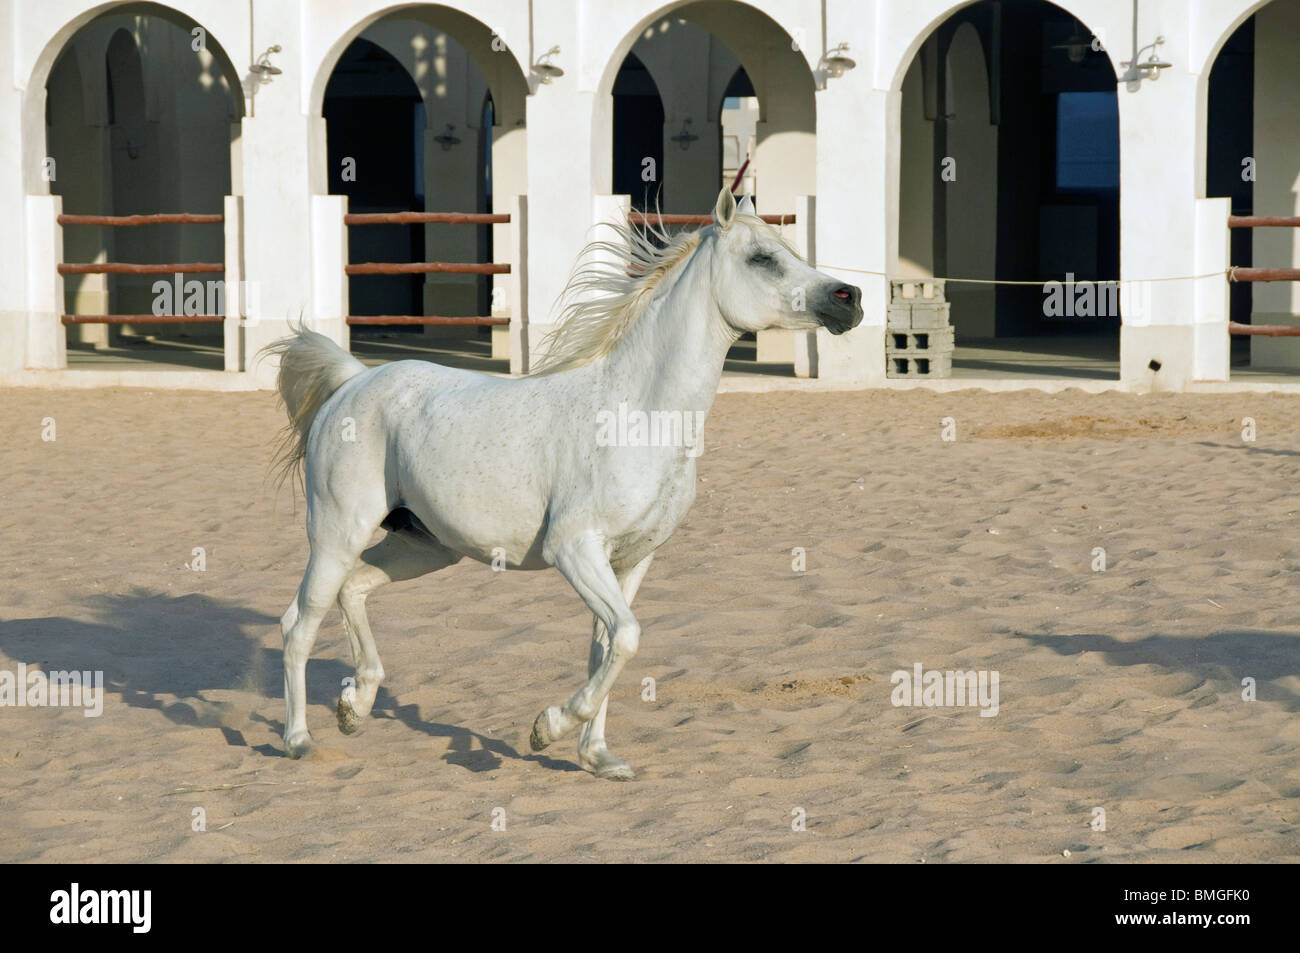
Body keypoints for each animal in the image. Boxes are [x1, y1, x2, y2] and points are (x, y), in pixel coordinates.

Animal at [261, 186, 862, 779]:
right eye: (763, 258)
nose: (850, 298)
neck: (637, 414)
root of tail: (353, 381)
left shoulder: (631, 560)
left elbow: (607, 646)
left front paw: (597, 758)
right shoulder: (574, 549)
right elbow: (626, 637)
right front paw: (547, 728)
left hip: (425, 546)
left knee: (354, 589)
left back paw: (354, 706)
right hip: (338, 533)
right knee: (298, 624)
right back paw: (299, 740)